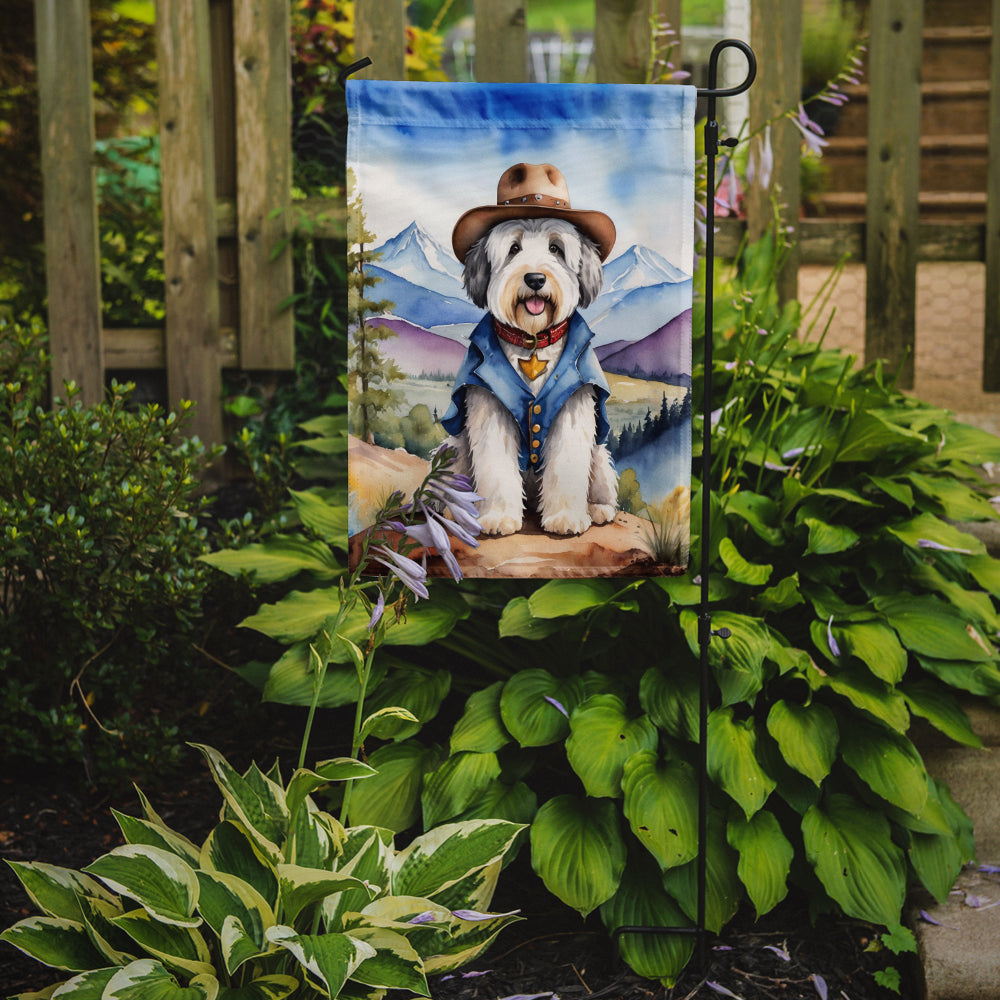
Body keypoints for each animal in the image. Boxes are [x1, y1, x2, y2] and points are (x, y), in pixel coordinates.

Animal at [440, 215, 616, 536]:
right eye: (513, 248)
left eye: (556, 248)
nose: (535, 279)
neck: (532, 339)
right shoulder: (491, 409)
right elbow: (496, 464)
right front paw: (498, 517)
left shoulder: (571, 408)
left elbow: (567, 462)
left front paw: (566, 518)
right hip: (454, 448)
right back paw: (455, 510)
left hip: (599, 457)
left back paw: (597, 510)